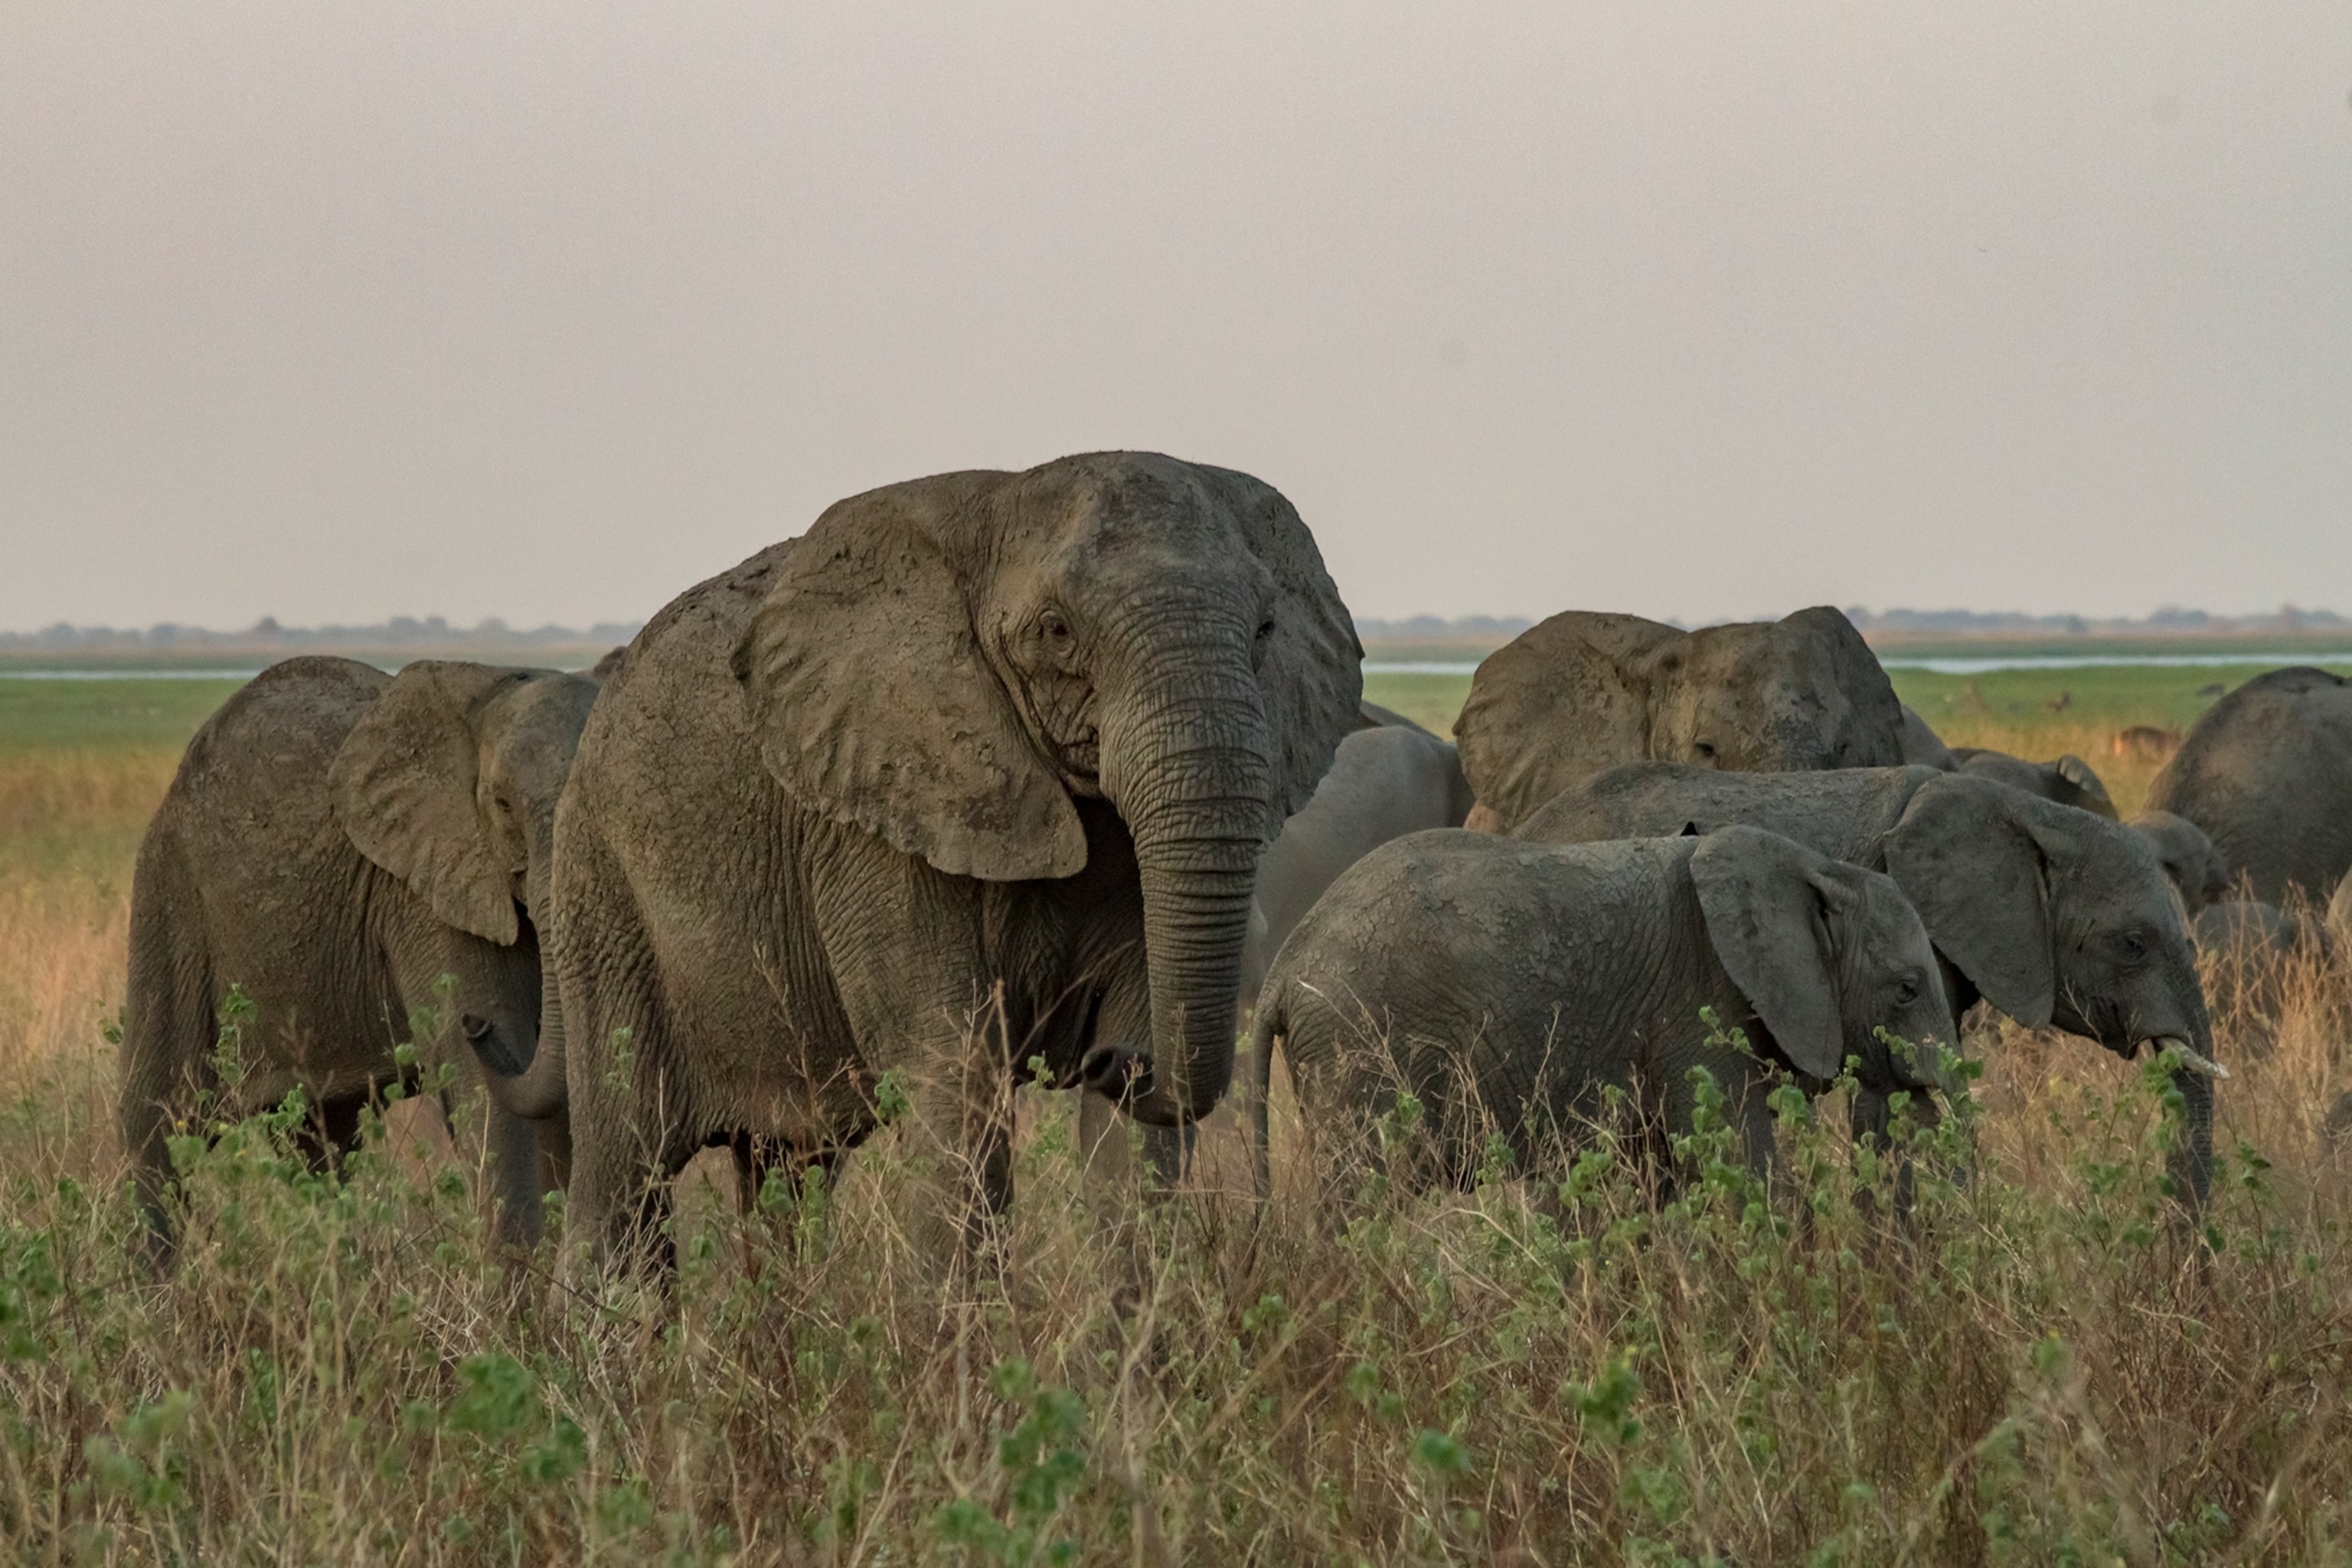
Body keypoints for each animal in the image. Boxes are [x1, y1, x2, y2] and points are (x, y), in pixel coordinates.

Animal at [121, 656, 600, 1262]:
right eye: (503, 805)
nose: (476, 1025)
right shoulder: (422, 891)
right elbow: (491, 1078)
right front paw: (519, 1289)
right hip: (171, 896)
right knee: (158, 1118)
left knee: (321, 1138)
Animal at [469, 453, 1361, 1269]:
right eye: (1056, 631)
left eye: (1266, 631)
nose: (1109, 1061)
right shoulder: (876, 816)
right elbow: (953, 1077)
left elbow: (1132, 1143)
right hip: (603, 889)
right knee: (624, 1173)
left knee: (789, 1173)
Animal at [1248, 825, 1957, 1201]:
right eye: (1906, 989)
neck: (1813, 867)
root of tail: (1281, 968)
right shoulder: (1698, 1004)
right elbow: (1737, 1163)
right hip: (1355, 1041)